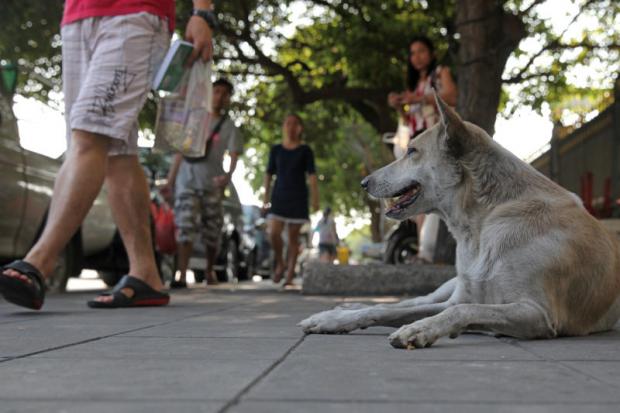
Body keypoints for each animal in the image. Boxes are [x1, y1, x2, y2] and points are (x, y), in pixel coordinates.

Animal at [298, 94, 616, 348]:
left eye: (412, 151)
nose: (364, 183)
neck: (481, 226)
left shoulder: (538, 313)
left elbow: (463, 311)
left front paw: (420, 329)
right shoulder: (460, 296)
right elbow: (388, 310)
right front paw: (335, 319)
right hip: (446, 287)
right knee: (414, 300)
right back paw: (344, 307)